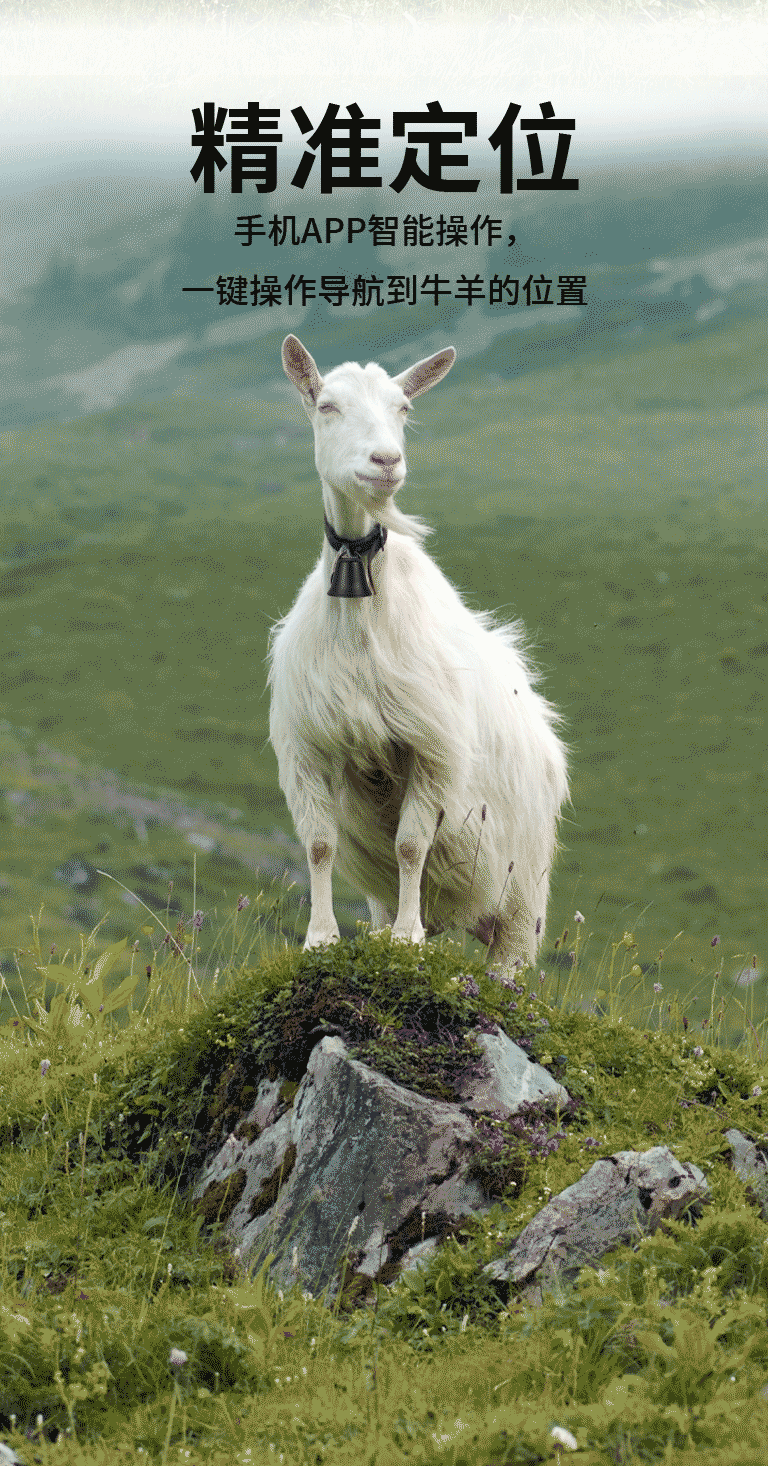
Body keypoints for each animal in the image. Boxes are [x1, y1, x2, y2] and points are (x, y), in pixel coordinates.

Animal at [267, 334, 568, 977]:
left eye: (403, 408)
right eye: (326, 405)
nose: (385, 461)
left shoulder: (431, 746)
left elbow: (412, 844)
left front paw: (408, 940)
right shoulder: (310, 746)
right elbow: (320, 845)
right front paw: (321, 938)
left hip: (522, 896)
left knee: (507, 962)